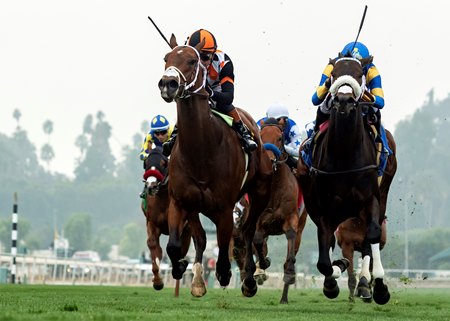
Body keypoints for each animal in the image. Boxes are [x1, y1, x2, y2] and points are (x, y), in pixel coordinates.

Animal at [156, 33, 272, 296]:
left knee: (248, 232)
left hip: (259, 192)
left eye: (192, 60)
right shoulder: (180, 201)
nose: (168, 83)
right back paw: (199, 280)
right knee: (201, 237)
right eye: (166, 58)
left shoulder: (225, 209)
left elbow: (224, 253)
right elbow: (175, 245)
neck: (201, 151)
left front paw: (226, 274)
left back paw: (251, 277)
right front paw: (182, 267)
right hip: (195, 206)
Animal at [234, 117, 308, 302]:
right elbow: (258, 241)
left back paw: (283, 296)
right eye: (261, 136)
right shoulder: (260, 222)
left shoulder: (291, 219)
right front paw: (262, 265)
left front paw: (289, 273)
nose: (268, 160)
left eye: (280, 138)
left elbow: (290, 242)